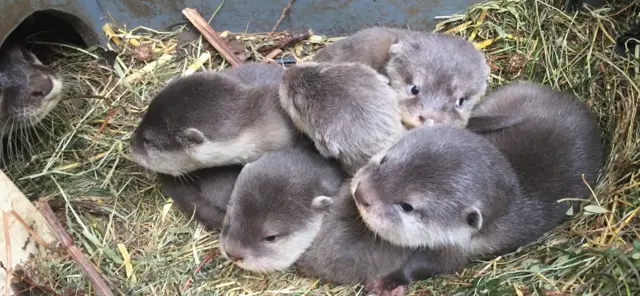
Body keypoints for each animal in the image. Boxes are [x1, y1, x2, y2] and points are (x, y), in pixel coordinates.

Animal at [356, 82, 604, 294]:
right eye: (385, 160)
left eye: (406, 206)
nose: (360, 194)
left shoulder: (459, 251)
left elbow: (426, 266)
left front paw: (390, 281)